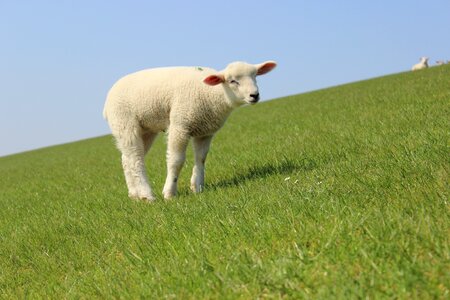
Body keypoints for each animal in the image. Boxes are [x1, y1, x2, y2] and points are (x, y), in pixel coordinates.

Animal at [103, 60, 276, 202]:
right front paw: (169, 193)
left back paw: (135, 195)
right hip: (125, 123)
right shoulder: (180, 125)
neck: (212, 93)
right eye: (233, 81)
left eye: (255, 76)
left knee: (127, 159)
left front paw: (197, 187)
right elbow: (176, 161)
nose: (254, 95)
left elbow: (201, 158)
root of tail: (106, 103)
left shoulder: (205, 131)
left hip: (146, 130)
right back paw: (147, 195)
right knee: (135, 159)